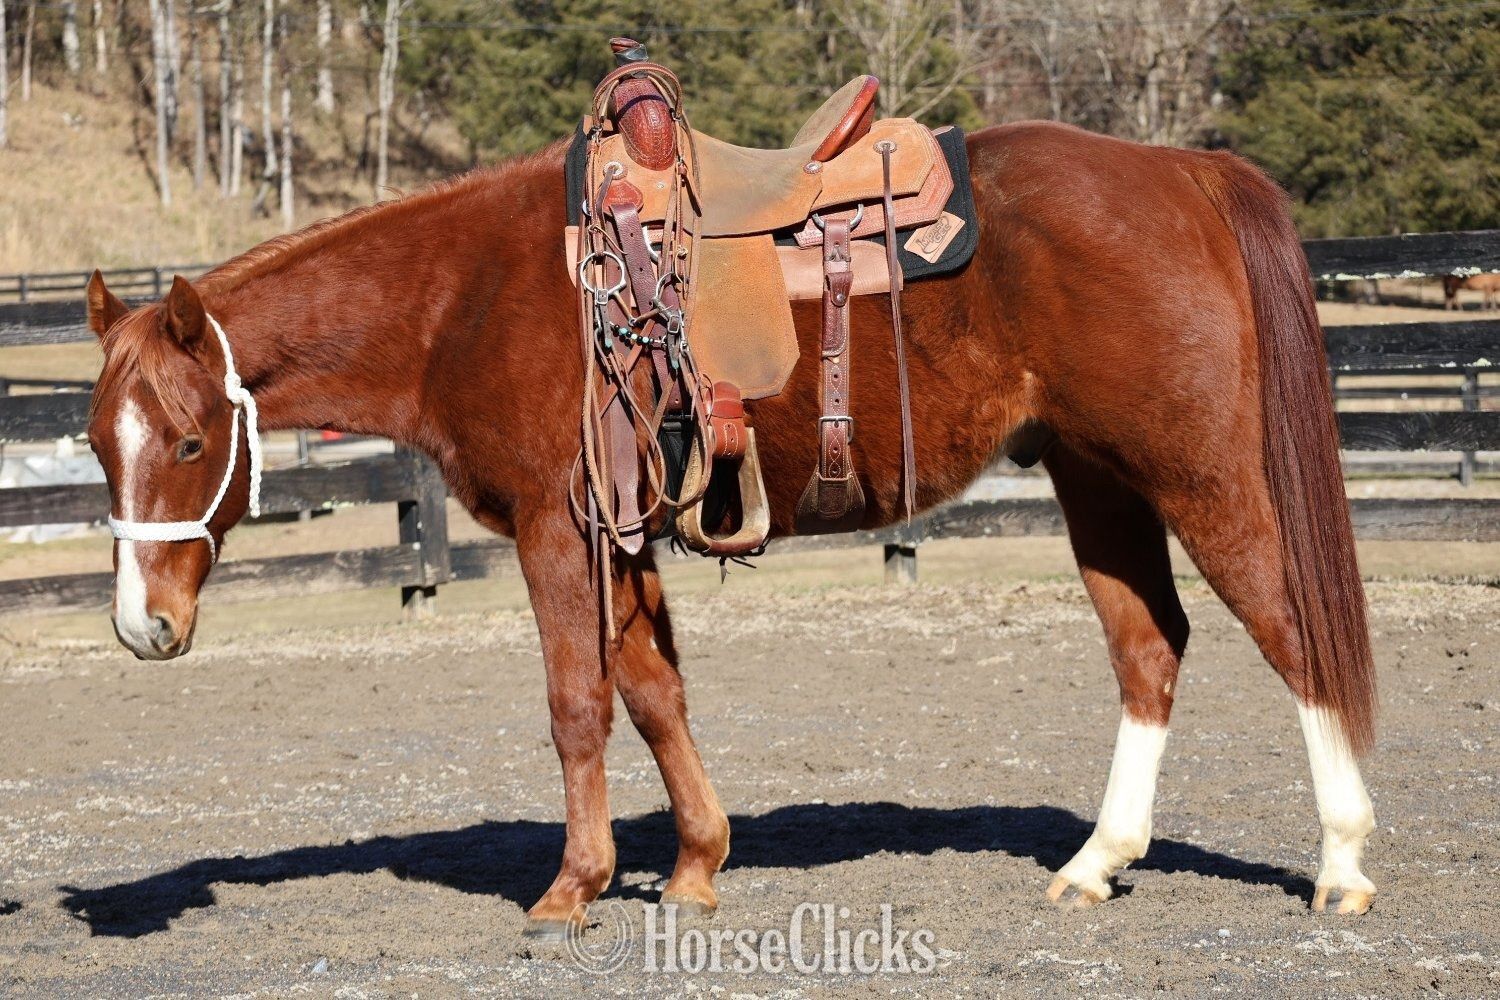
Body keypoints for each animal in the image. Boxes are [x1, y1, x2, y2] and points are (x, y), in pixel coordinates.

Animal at [83, 119, 1379, 933]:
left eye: (189, 445)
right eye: (100, 443)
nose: (144, 628)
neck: (463, 298)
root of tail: (1182, 169)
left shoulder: (558, 533)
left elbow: (579, 704)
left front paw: (574, 888)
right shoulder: (623, 537)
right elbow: (655, 692)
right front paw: (697, 865)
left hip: (1202, 475)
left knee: (1293, 632)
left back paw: (1343, 863)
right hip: (1095, 479)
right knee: (1150, 647)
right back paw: (1097, 862)